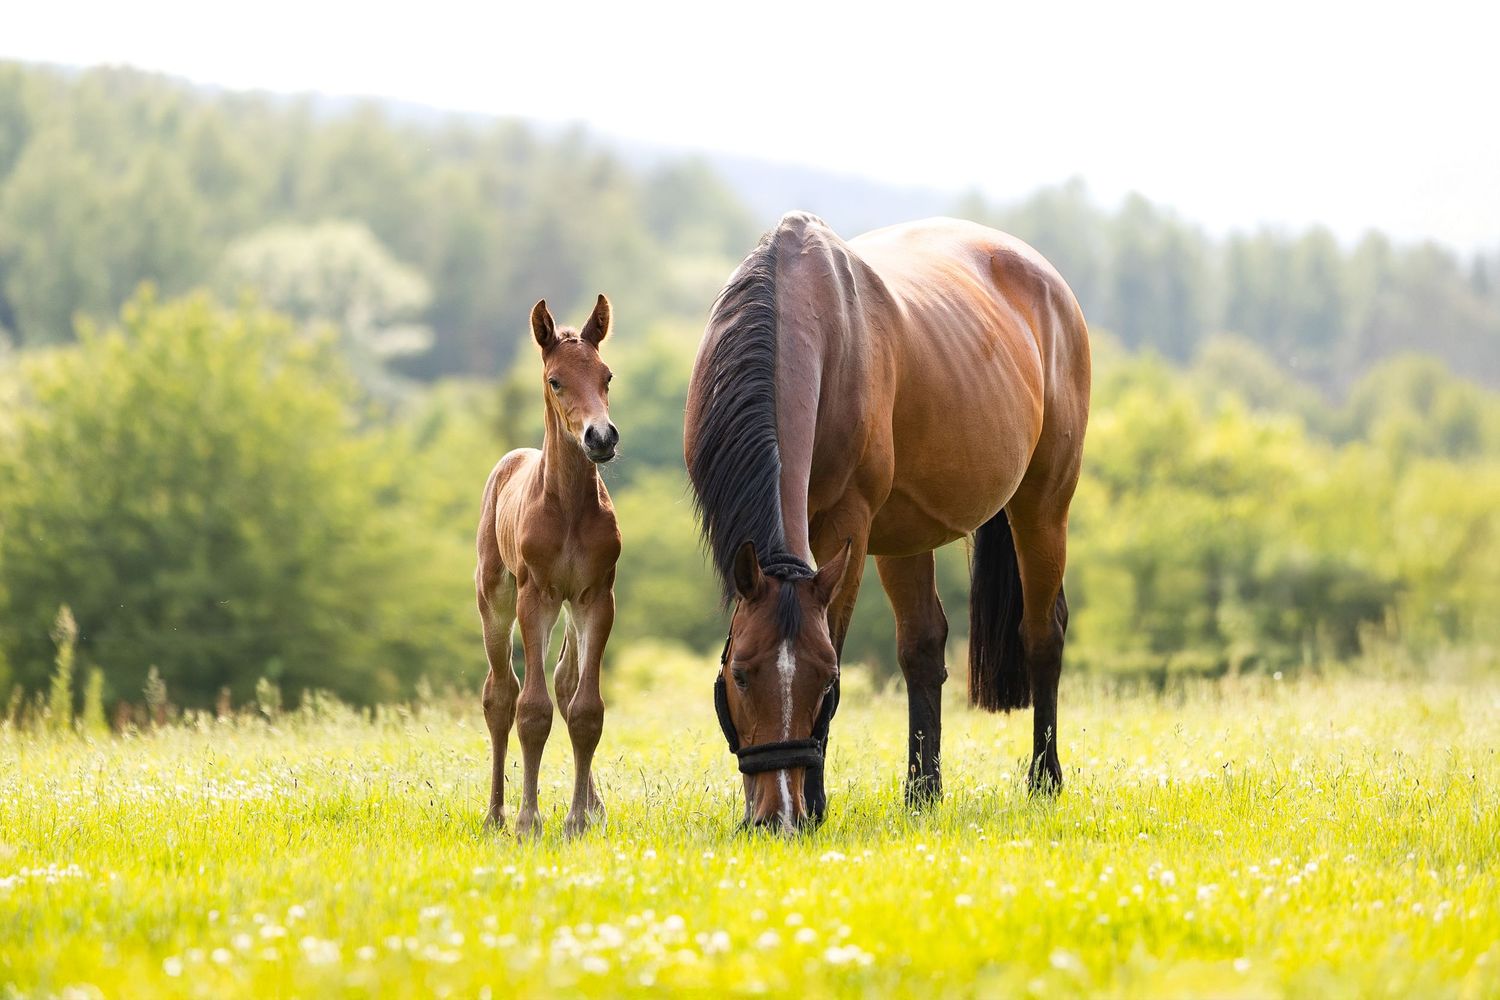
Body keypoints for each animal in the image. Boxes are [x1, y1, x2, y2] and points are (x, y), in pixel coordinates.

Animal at [476, 295, 621, 837]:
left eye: (606, 376)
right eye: (556, 380)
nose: (600, 437)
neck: (568, 509)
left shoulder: (595, 597)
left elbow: (585, 709)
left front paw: (578, 820)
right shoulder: (533, 597)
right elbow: (531, 710)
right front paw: (528, 821)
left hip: (567, 608)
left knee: (564, 682)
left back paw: (593, 807)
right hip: (495, 601)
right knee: (501, 694)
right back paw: (496, 813)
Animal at [685, 213, 1090, 833]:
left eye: (827, 682)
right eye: (741, 675)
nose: (780, 816)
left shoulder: (846, 524)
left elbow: (837, 638)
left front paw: (817, 802)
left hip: (1043, 504)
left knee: (1043, 633)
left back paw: (1044, 779)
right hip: (905, 537)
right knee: (923, 647)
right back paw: (923, 792)